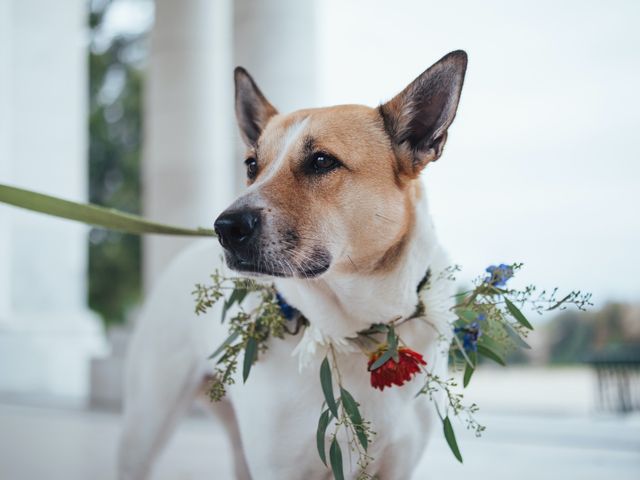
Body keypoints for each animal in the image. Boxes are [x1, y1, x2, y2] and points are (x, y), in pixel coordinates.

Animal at [120, 49, 468, 480]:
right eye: (251, 165)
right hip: (147, 422)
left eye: (321, 161)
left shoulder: (396, 467)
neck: (356, 329)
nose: (225, 228)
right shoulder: (280, 466)